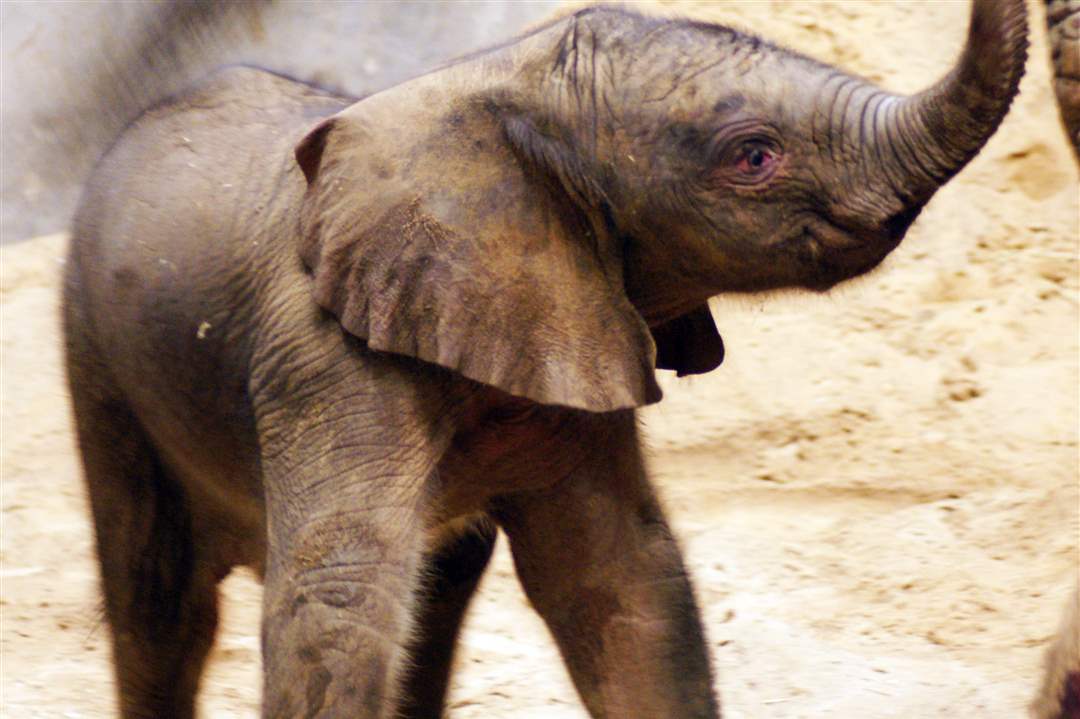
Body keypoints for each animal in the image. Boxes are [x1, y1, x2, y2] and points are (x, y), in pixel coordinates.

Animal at [63, 2, 1023, 712]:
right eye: (753, 156)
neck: (505, 81)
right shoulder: (322, 356)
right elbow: (337, 603)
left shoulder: (571, 336)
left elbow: (622, 584)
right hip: (97, 352)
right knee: (159, 599)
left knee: (436, 595)